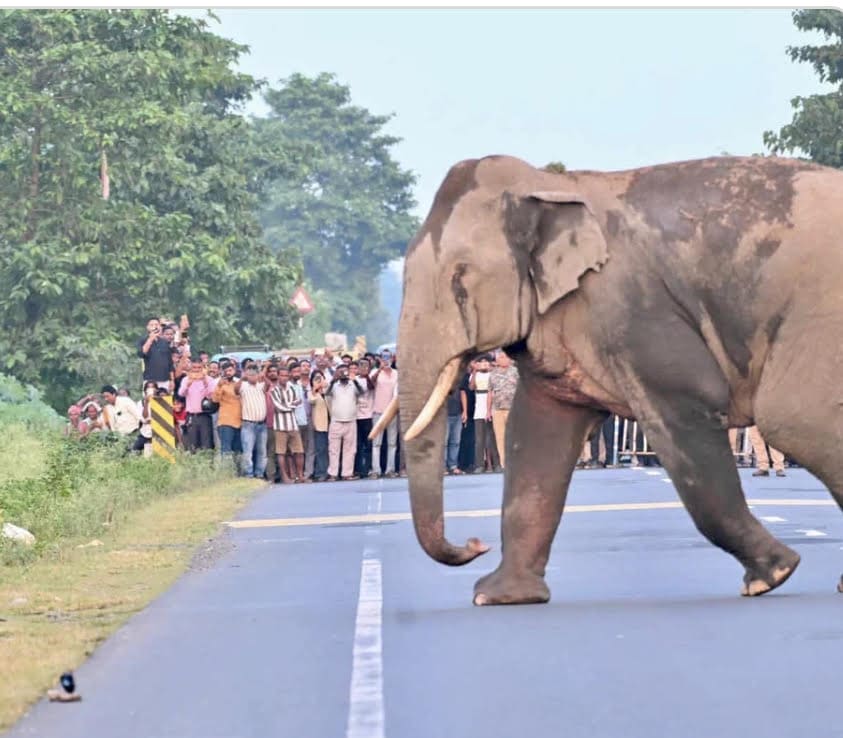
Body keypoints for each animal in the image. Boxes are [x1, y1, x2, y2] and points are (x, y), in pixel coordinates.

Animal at [393, 153, 843, 606]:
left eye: (459, 279)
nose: (474, 544)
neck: (551, 184)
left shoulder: (633, 310)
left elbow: (686, 409)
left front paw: (771, 575)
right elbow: (537, 433)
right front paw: (498, 595)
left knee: (792, 420)